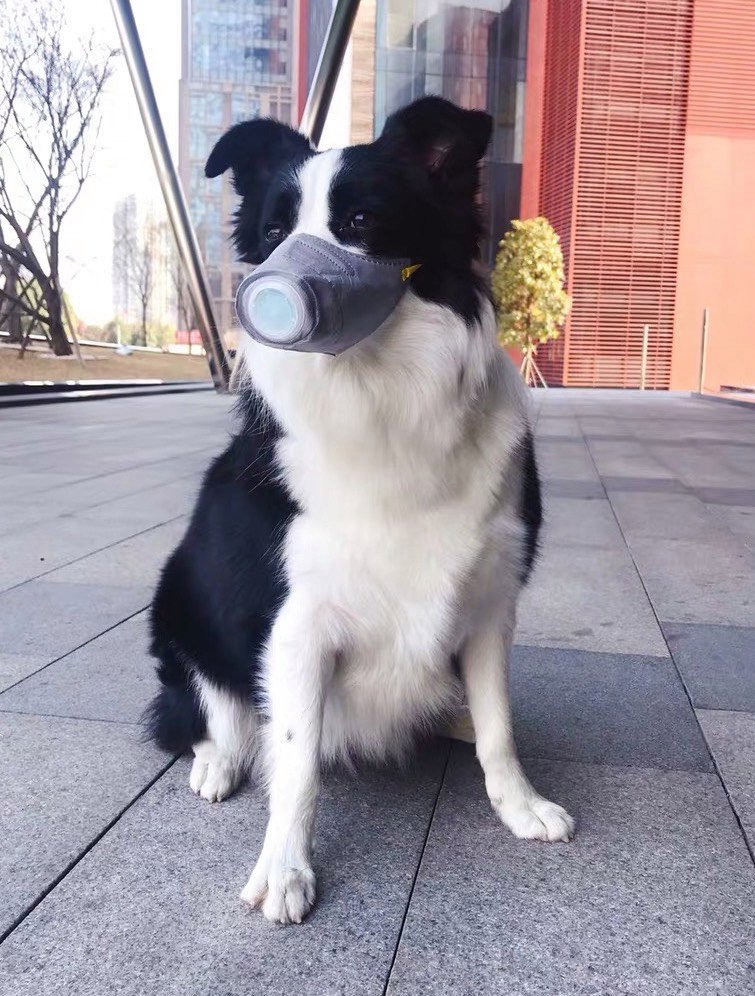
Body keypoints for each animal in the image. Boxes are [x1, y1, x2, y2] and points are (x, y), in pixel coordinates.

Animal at [146, 95, 572, 924]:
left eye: (362, 220)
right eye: (273, 232)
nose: (275, 284)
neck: (378, 404)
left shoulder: (490, 602)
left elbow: (499, 726)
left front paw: (518, 804)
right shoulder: (295, 622)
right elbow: (296, 762)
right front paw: (285, 869)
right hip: (177, 600)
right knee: (198, 711)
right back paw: (216, 762)